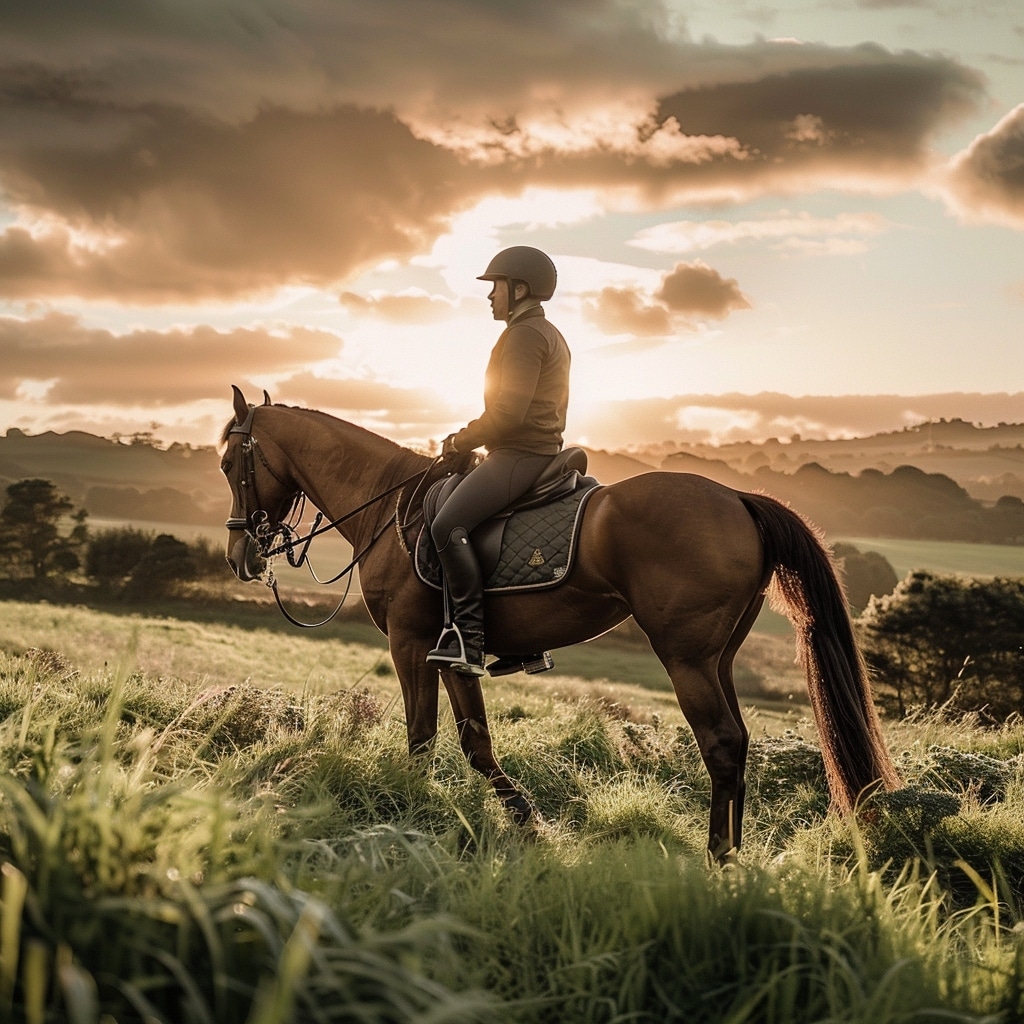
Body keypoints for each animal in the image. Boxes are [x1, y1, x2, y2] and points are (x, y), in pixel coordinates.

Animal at [222, 387, 897, 860]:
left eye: (232, 462)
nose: (241, 556)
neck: (389, 505)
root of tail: (737, 498)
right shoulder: (454, 648)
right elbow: (475, 740)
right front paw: (523, 817)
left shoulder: (411, 642)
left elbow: (421, 736)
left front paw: (407, 811)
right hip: (719, 658)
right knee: (739, 741)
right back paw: (731, 849)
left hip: (687, 659)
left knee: (723, 743)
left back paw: (719, 859)